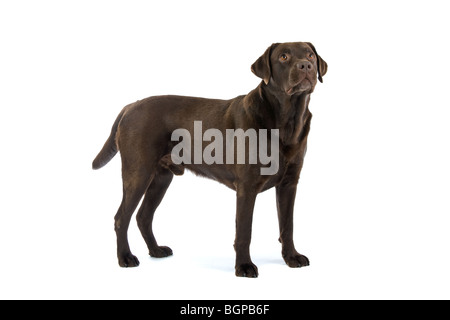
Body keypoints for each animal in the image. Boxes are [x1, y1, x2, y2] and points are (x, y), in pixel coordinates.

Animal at [93, 42, 326, 278]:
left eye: (310, 55)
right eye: (284, 57)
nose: (306, 66)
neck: (287, 118)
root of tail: (130, 106)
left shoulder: (289, 183)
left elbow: (287, 226)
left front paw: (292, 257)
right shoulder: (247, 186)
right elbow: (244, 231)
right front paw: (244, 266)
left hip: (161, 178)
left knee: (143, 216)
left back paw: (156, 250)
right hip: (138, 172)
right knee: (122, 217)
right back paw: (125, 257)